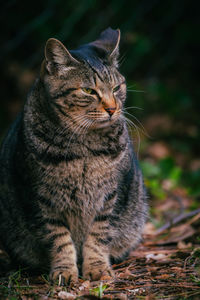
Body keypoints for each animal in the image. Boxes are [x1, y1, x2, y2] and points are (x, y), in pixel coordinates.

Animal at [0, 27, 147, 284]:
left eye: (116, 88)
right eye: (88, 91)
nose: (112, 109)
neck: (84, 149)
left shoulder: (111, 196)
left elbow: (99, 235)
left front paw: (98, 268)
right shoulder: (42, 199)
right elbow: (58, 239)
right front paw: (64, 271)